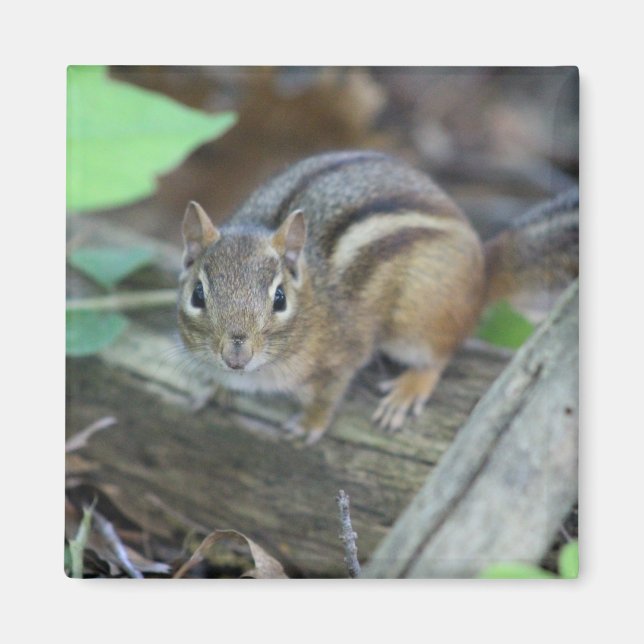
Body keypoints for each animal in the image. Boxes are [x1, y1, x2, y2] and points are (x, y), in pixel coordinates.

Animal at [177, 150, 578, 444]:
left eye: (279, 299)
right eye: (197, 294)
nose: (236, 355)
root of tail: (482, 269)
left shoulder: (344, 354)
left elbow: (329, 394)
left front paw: (310, 423)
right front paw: (213, 388)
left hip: (418, 319)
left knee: (439, 354)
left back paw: (408, 390)